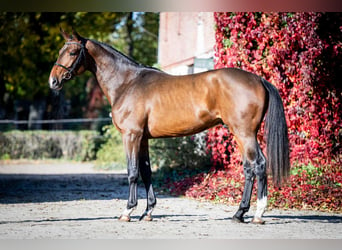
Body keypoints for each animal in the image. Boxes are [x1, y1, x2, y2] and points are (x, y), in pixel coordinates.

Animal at [48, 28, 288, 225]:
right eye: (61, 50)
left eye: (72, 52)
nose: (53, 82)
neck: (128, 83)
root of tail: (258, 79)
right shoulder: (143, 139)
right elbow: (146, 172)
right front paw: (148, 212)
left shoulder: (131, 136)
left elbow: (132, 172)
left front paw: (128, 211)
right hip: (240, 134)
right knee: (248, 168)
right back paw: (239, 214)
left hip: (244, 132)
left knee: (259, 164)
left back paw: (258, 214)